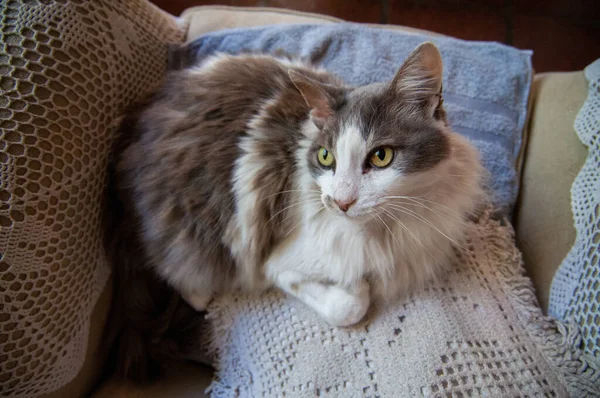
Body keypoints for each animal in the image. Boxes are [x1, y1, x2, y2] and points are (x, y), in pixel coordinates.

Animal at [105, 42, 486, 380]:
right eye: (326, 157)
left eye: (381, 156)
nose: (341, 202)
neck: (389, 225)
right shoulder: (275, 262)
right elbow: (349, 305)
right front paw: (357, 287)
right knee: (184, 277)